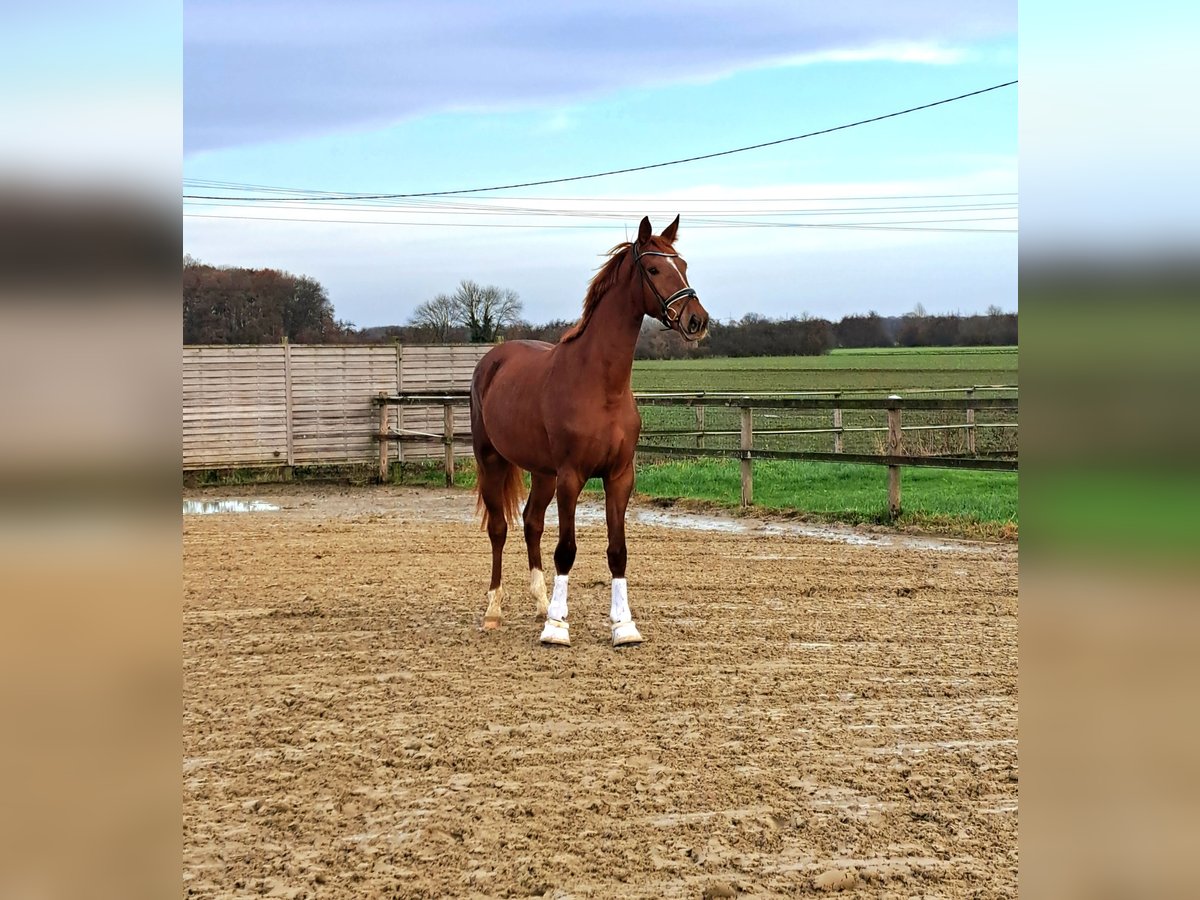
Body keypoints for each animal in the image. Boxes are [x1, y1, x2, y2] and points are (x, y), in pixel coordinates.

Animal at [470, 217, 710, 648]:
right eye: (654, 269)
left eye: (682, 264)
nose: (696, 320)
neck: (601, 385)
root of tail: (492, 360)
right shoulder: (572, 477)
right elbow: (566, 549)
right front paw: (557, 628)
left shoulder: (619, 476)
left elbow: (618, 551)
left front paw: (624, 626)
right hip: (492, 461)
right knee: (499, 529)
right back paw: (495, 611)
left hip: (543, 473)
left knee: (531, 523)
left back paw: (540, 603)